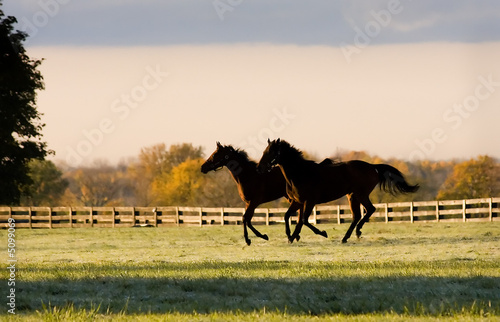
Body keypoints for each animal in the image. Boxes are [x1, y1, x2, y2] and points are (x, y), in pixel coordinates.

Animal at [258, 138, 418, 242]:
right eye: (264, 151)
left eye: (271, 152)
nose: (259, 168)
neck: (300, 173)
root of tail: (373, 167)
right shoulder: (297, 202)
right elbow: (288, 217)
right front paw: (291, 236)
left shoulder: (310, 201)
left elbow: (304, 220)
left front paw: (322, 233)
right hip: (352, 196)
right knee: (357, 215)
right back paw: (346, 237)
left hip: (360, 194)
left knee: (369, 210)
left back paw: (357, 232)